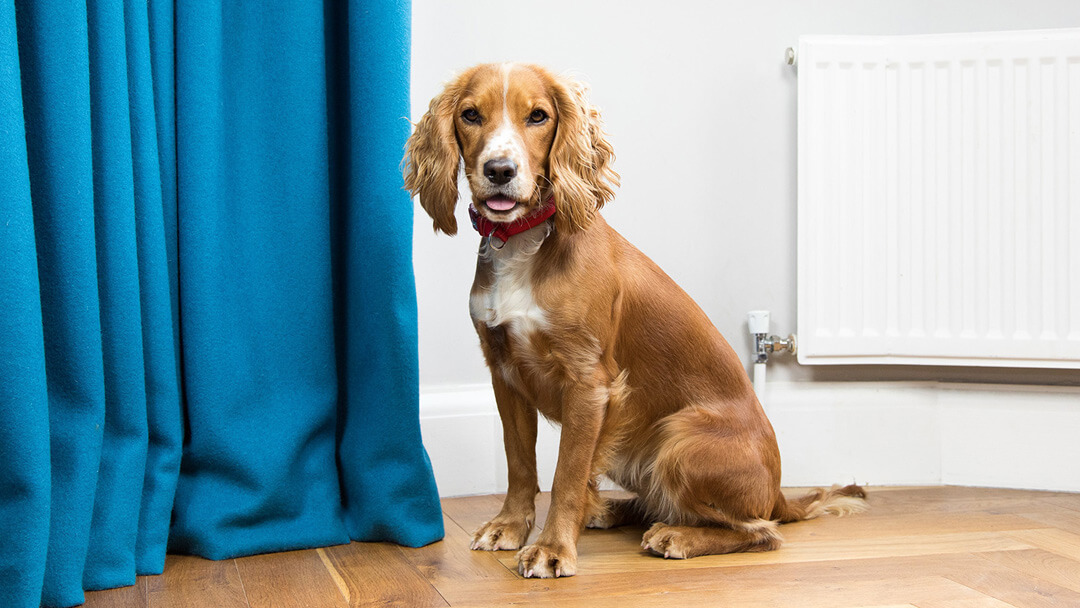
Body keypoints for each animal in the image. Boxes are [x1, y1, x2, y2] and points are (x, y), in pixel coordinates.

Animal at [401, 63, 864, 578]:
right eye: (470, 115)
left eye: (538, 116)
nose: (499, 170)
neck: (525, 242)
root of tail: (779, 493)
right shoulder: (504, 371)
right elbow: (520, 463)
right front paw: (510, 525)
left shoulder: (589, 383)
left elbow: (566, 474)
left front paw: (552, 547)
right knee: (662, 503)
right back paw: (609, 511)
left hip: (679, 439)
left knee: (760, 531)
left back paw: (677, 535)